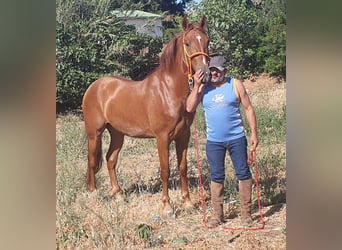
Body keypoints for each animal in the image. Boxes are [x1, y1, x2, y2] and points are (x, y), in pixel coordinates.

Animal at [83, 15, 211, 216]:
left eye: (207, 41)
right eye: (188, 43)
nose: (204, 74)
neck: (168, 90)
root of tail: (94, 87)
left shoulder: (184, 135)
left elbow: (182, 167)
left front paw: (188, 202)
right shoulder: (162, 137)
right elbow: (165, 170)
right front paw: (167, 206)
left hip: (117, 134)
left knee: (111, 160)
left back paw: (119, 195)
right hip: (94, 133)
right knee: (91, 160)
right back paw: (94, 194)